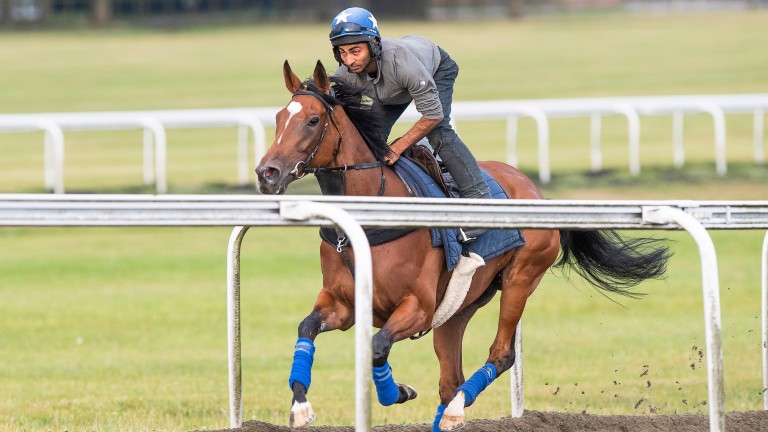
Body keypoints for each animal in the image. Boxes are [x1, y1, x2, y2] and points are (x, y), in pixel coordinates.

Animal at [255, 60, 668, 428]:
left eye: (312, 120)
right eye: (278, 118)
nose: (266, 173)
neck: (374, 215)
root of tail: (534, 189)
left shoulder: (417, 307)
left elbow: (377, 346)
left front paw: (397, 392)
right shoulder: (343, 305)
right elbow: (306, 328)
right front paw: (301, 407)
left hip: (520, 278)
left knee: (500, 356)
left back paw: (455, 410)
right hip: (458, 308)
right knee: (449, 377)